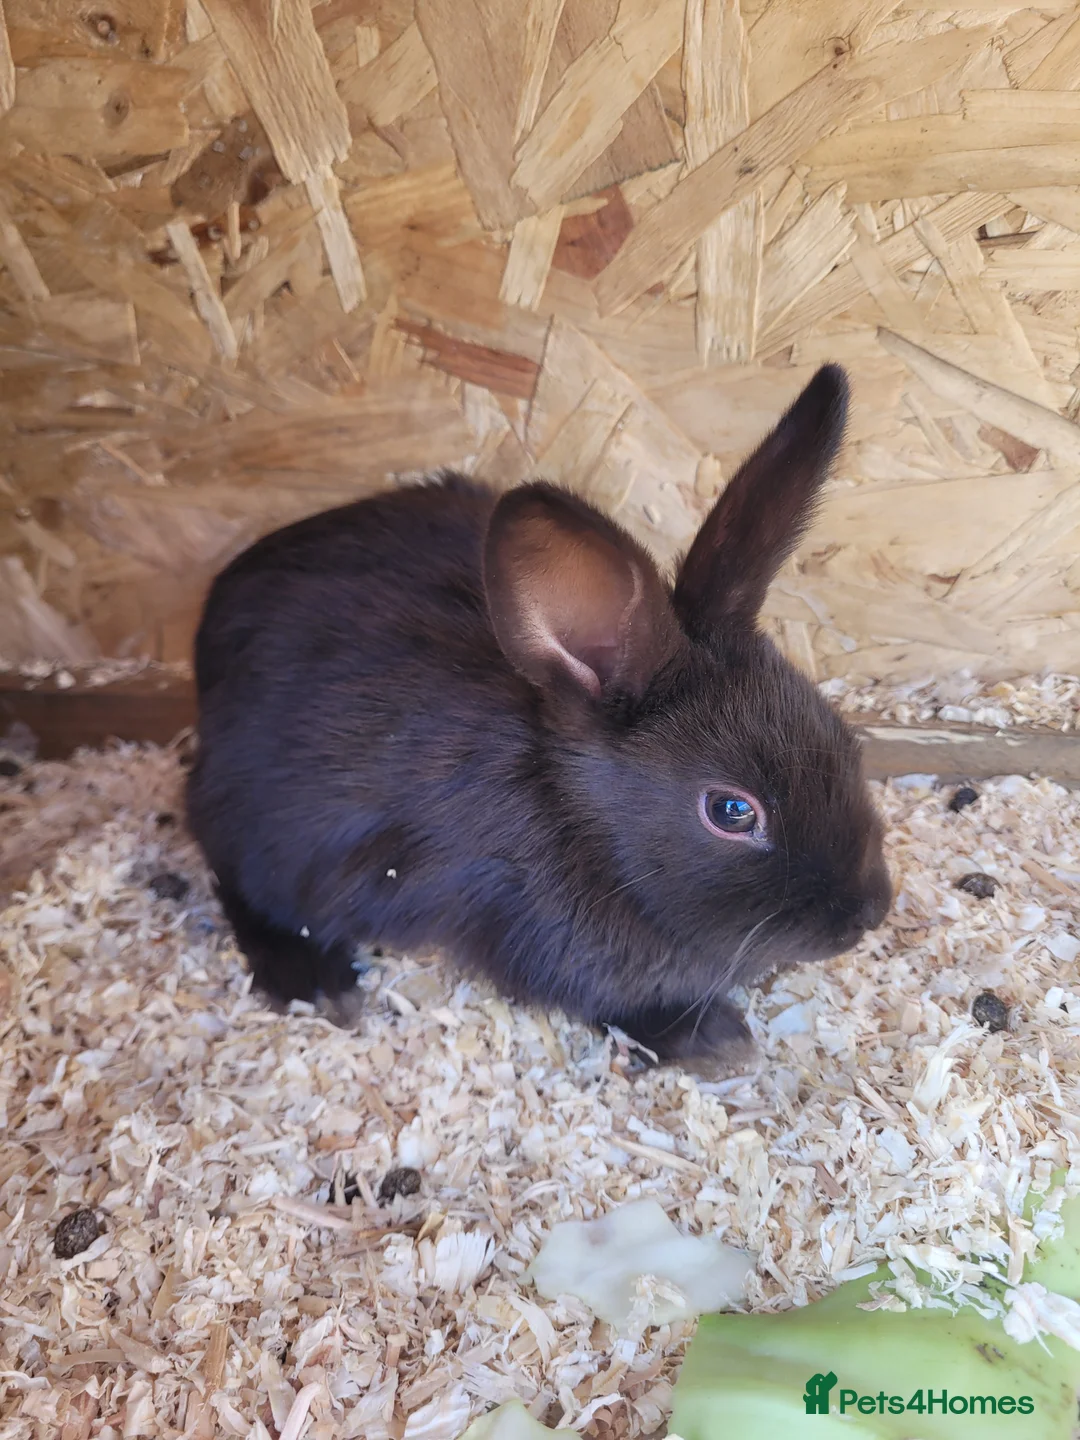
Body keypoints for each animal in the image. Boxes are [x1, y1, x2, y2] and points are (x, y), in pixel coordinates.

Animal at [186, 363, 891, 1067]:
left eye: (845, 737)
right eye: (732, 811)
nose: (869, 913)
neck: (583, 828)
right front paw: (711, 1038)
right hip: (271, 839)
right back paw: (316, 981)